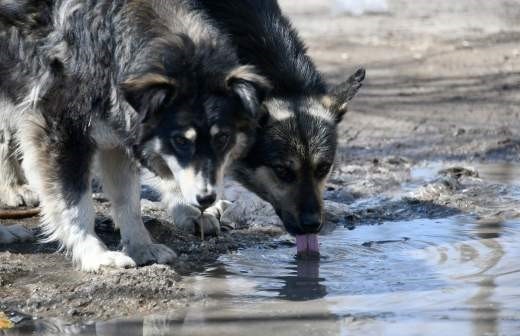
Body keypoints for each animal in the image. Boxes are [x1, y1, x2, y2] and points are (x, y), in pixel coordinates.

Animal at [0, 0, 268, 270]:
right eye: (180, 141)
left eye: (222, 139)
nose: (206, 199)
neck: (112, 44)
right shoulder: (61, 132)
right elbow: (76, 204)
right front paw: (95, 254)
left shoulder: (117, 132)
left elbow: (128, 199)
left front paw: (142, 247)